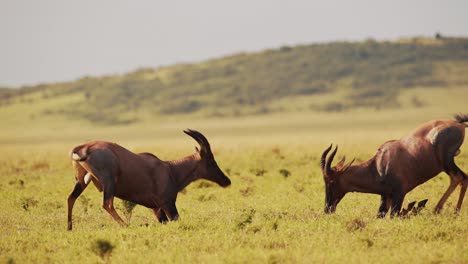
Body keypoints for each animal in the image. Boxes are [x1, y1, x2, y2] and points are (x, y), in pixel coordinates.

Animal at [66, 129, 231, 230]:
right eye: (211, 160)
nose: (226, 181)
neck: (169, 169)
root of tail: (83, 148)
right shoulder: (168, 205)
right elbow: (176, 220)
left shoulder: (156, 208)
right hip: (109, 182)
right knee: (107, 204)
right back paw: (126, 226)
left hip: (81, 181)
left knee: (71, 198)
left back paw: (69, 228)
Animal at [320, 114, 468, 218]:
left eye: (331, 181)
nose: (327, 209)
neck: (378, 165)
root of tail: (458, 124)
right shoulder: (386, 196)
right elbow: (380, 215)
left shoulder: (399, 194)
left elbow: (393, 215)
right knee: (461, 178)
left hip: (446, 162)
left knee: (459, 177)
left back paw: (444, 211)